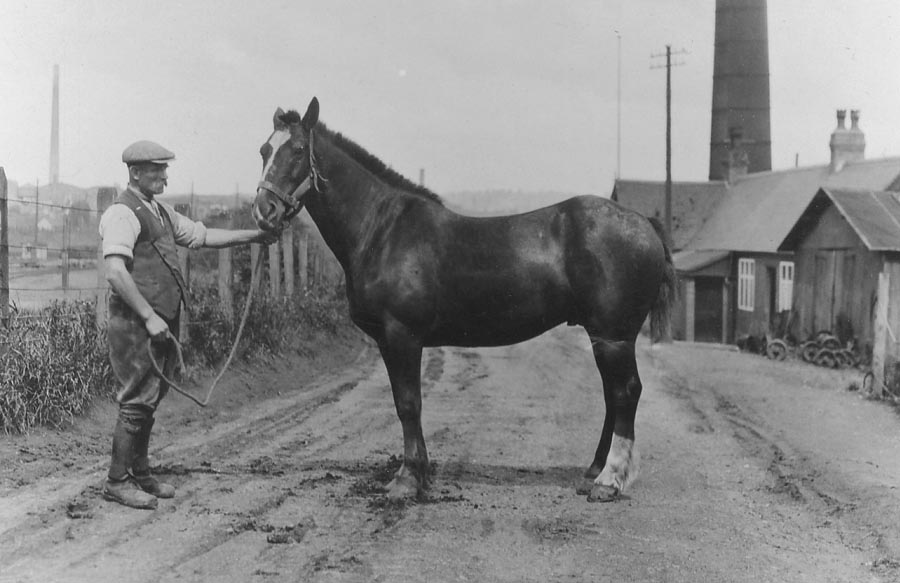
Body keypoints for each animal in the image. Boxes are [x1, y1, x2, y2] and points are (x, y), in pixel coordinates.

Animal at [251, 98, 676, 504]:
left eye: (298, 150)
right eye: (263, 150)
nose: (264, 211)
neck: (383, 231)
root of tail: (645, 225)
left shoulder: (402, 336)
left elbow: (409, 404)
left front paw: (406, 481)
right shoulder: (389, 342)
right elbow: (405, 403)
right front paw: (420, 474)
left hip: (613, 336)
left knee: (625, 393)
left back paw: (609, 481)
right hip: (604, 337)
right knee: (612, 396)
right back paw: (595, 470)